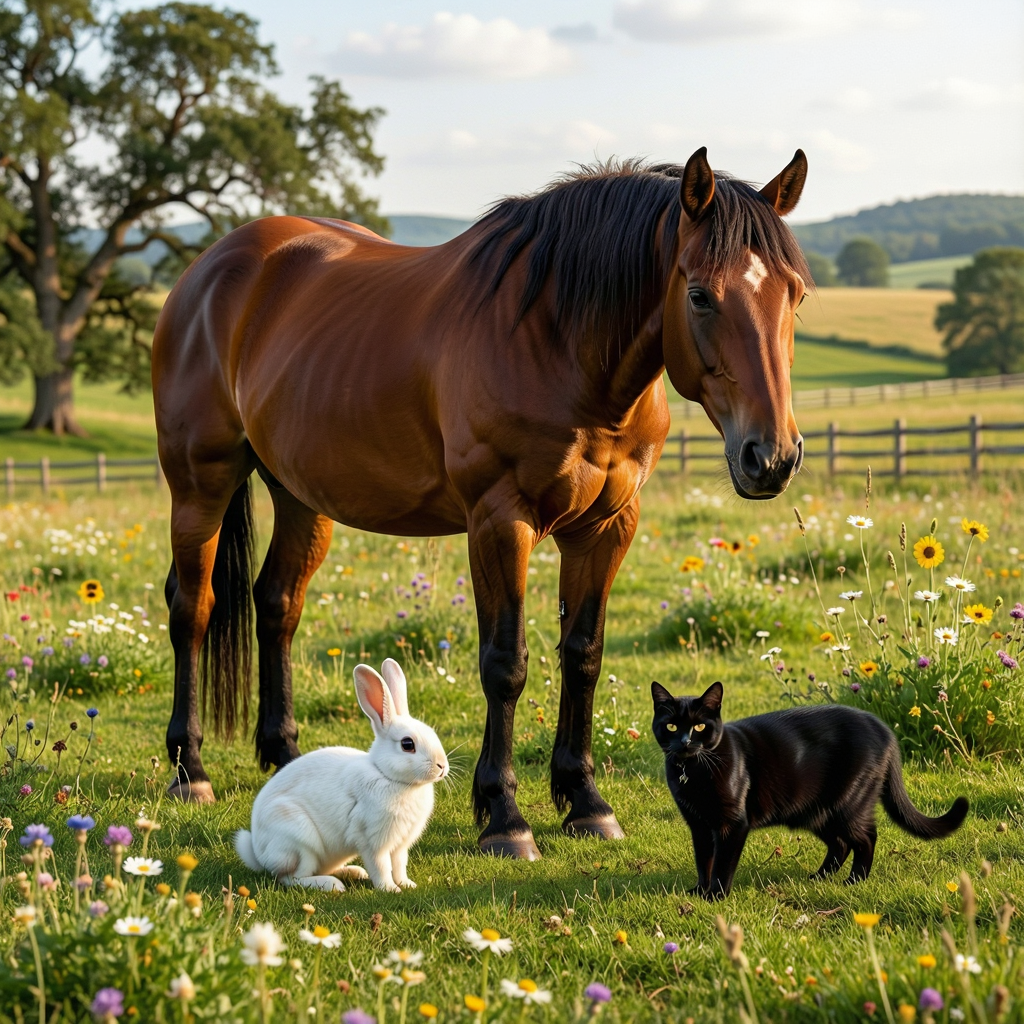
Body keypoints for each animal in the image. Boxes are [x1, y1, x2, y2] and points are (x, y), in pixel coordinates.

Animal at [152, 146, 810, 859]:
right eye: (699, 295)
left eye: (795, 294)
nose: (771, 456)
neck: (556, 341)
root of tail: (211, 268)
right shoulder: (500, 520)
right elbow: (506, 665)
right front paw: (505, 816)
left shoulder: (607, 526)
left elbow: (584, 655)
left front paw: (585, 802)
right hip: (200, 483)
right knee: (194, 608)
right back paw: (190, 769)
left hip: (301, 495)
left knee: (277, 604)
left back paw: (287, 756)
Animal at [234, 658, 448, 892]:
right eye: (407, 744)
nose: (442, 766)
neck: (387, 776)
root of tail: (258, 854)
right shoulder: (372, 841)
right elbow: (381, 867)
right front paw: (389, 889)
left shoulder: (400, 845)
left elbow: (400, 865)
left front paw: (407, 884)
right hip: (299, 841)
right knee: (291, 878)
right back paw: (332, 885)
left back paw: (354, 872)